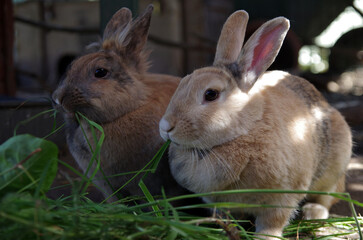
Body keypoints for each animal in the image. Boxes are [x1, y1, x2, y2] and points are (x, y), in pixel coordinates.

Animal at [159, 8, 352, 238]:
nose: (165, 127)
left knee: (327, 197)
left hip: (334, 169)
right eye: (182, 82)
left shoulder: (282, 196)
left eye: (211, 94)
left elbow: (273, 221)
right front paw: (229, 228)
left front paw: (266, 236)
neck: (245, 129)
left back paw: (313, 212)